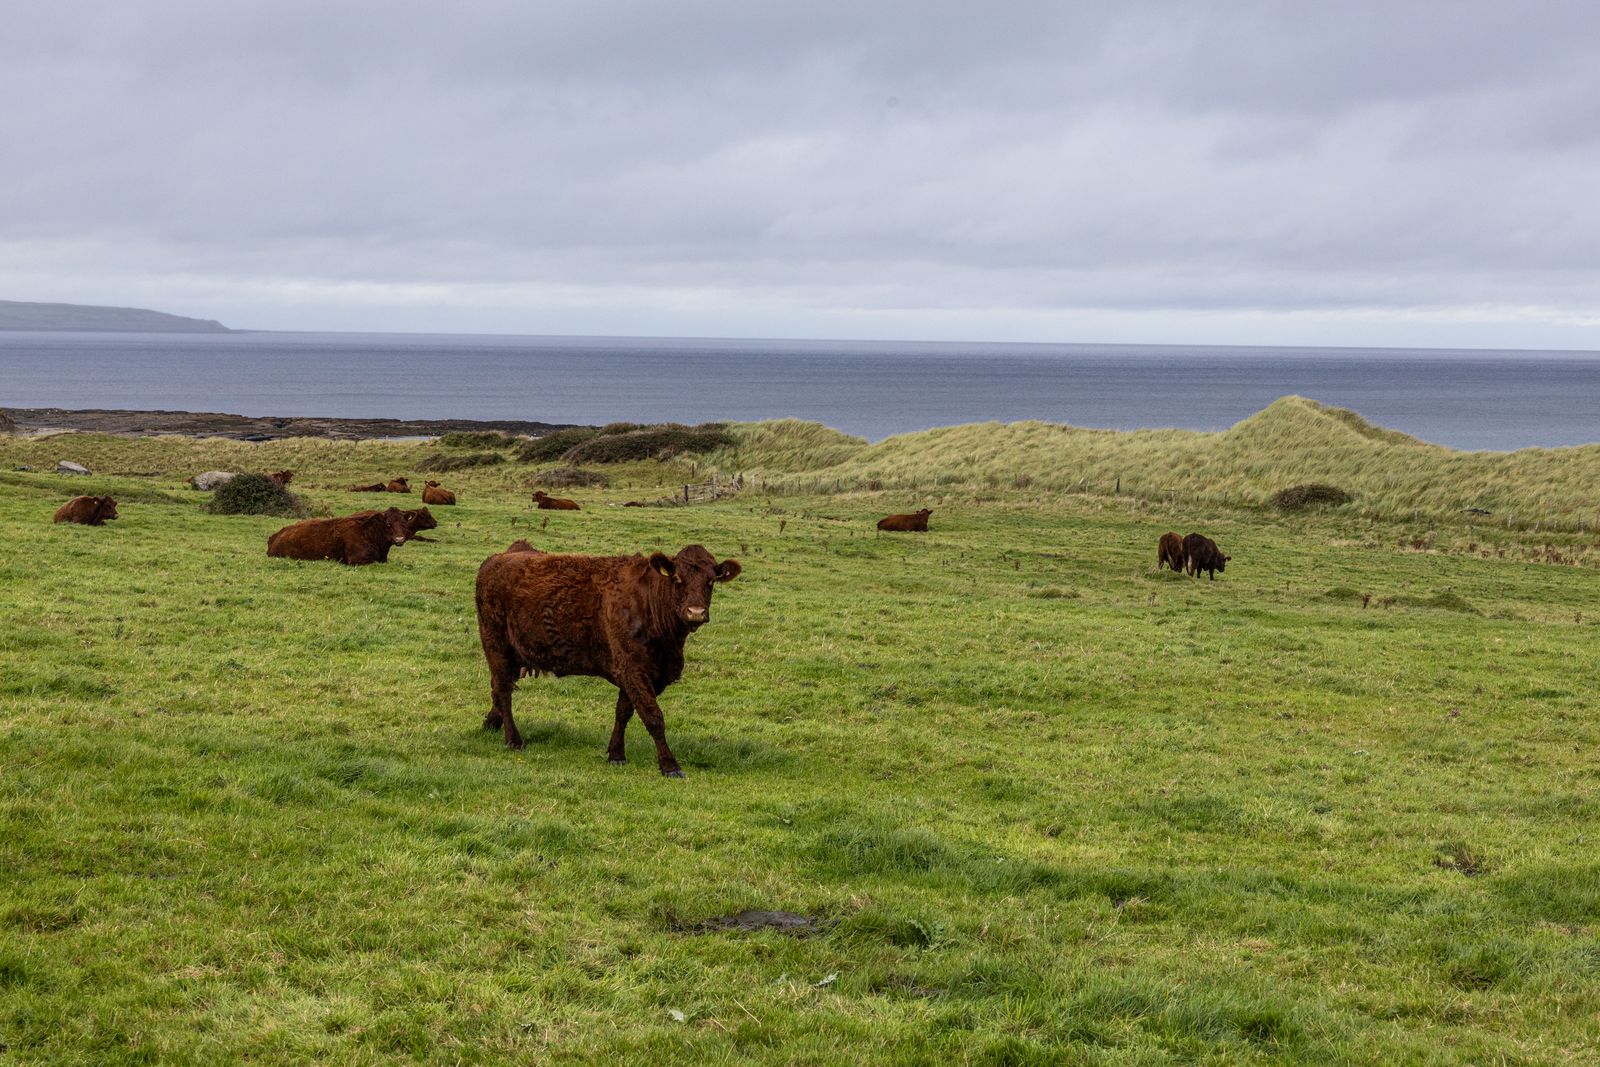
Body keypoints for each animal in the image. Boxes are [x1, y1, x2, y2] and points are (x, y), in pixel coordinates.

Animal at [474, 544, 742, 777]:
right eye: (677, 579)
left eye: (711, 581)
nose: (695, 612)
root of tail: (500, 557)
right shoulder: (633, 667)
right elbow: (653, 717)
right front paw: (670, 765)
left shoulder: (641, 672)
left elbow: (623, 712)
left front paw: (616, 754)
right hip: (496, 644)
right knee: (503, 691)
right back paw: (514, 740)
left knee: (499, 689)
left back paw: (490, 725)